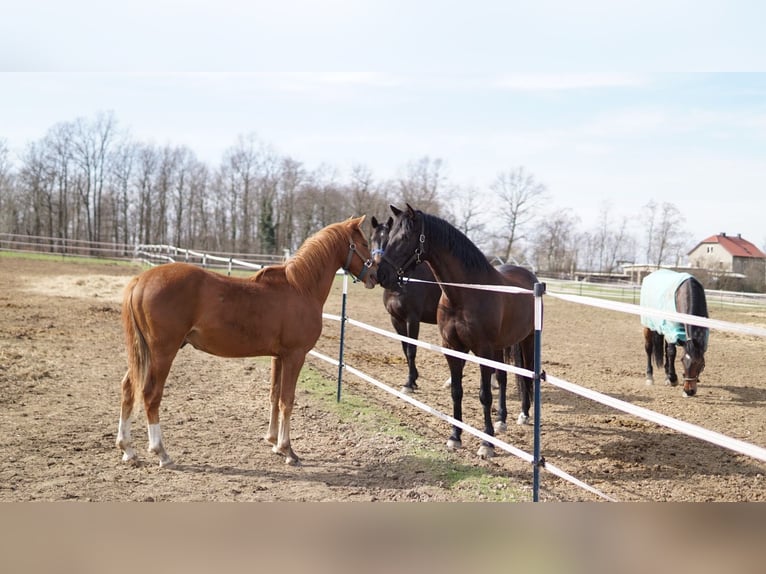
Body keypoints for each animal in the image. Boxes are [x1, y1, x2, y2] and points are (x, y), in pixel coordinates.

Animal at [116, 216, 378, 468]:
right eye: (365, 243)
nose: (375, 275)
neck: (301, 288)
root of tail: (141, 280)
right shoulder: (295, 356)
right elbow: (287, 400)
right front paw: (288, 451)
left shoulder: (278, 357)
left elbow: (274, 395)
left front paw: (273, 442)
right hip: (163, 353)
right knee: (150, 395)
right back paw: (161, 452)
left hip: (144, 353)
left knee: (128, 388)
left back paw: (128, 449)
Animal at [370, 217, 440, 396]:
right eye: (372, 239)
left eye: (389, 240)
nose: (379, 272)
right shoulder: (396, 319)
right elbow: (404, 347)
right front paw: (413, 379)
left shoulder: (412, 319)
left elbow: (411, 349)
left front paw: (409, 383)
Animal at [640, 268, 712, 396]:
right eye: (682, 361)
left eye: (701, 364)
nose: (689, 391)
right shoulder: (671, 329)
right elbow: (672, 352)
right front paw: (673, 378)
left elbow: (669, 352)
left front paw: (669, 377)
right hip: (648, 326)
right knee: (649, 348)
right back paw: (650, 377)